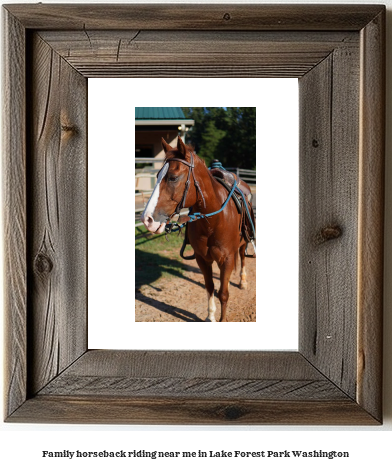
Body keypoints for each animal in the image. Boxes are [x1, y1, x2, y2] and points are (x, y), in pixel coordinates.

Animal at [141, 137, 254, 322]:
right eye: (157, 176)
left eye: (173, 178)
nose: (146, 219)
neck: (212, 222)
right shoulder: (202, 259)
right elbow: (210, 287)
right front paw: (210, 316)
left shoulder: (227, 259)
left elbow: (223, 293)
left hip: (243, 243)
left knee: (243, 257)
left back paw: (243, 281)